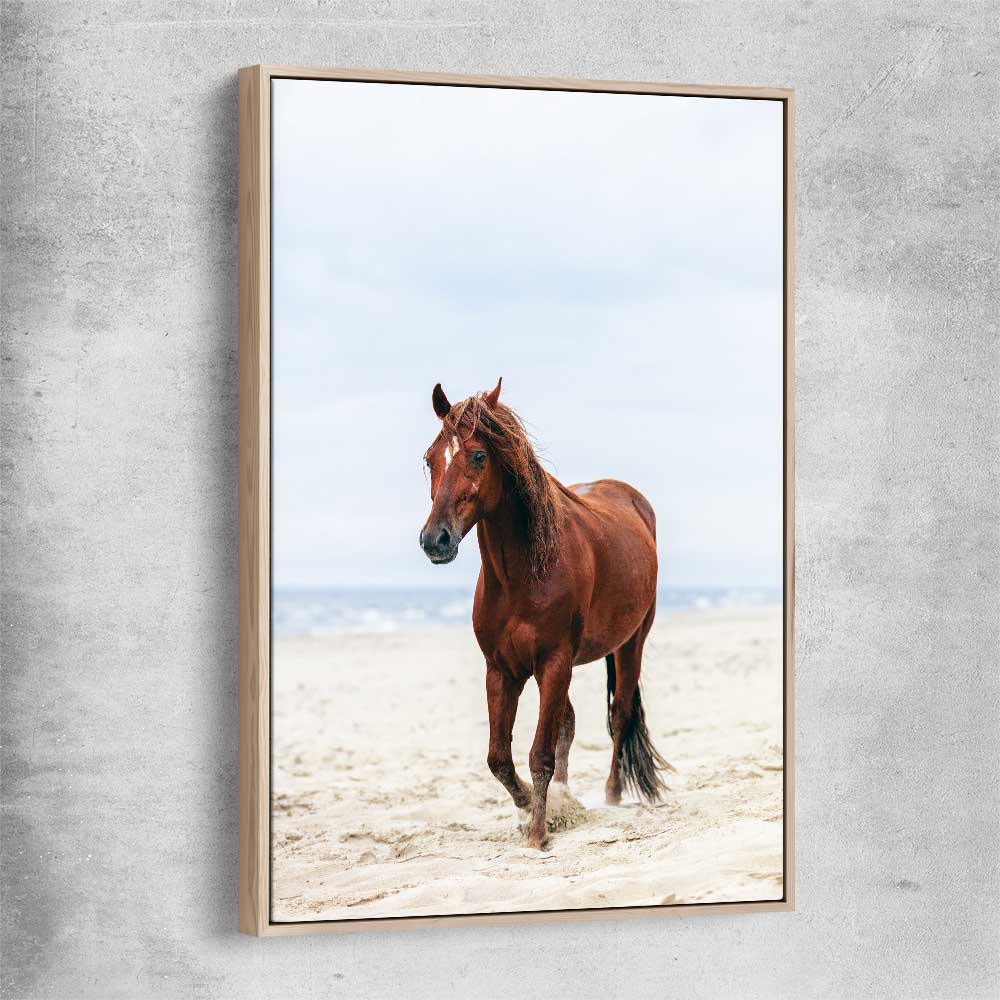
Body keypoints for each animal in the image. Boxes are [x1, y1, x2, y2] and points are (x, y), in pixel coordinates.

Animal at [419, 378, 673, 850]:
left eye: (478, 456)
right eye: (431, 458)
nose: (435, 540)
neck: (523, 575)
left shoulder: (554, 663)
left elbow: (540, 753)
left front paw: (539, 833)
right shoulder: (502, 670)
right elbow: (500, 758)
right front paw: (533, 806)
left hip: (630, 644)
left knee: (619, 716)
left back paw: (611, 795)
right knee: (569, 723)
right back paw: (567, 794)